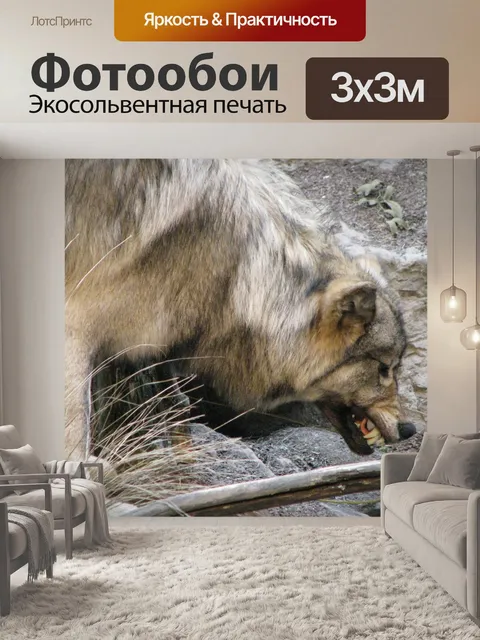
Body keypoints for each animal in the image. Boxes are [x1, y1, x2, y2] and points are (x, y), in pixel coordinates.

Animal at [65, 159, 416, 460]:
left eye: (395, 368)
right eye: (383, 368)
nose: (410, 429)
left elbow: (174, 406)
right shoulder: (77, 324)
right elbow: (77, 422)